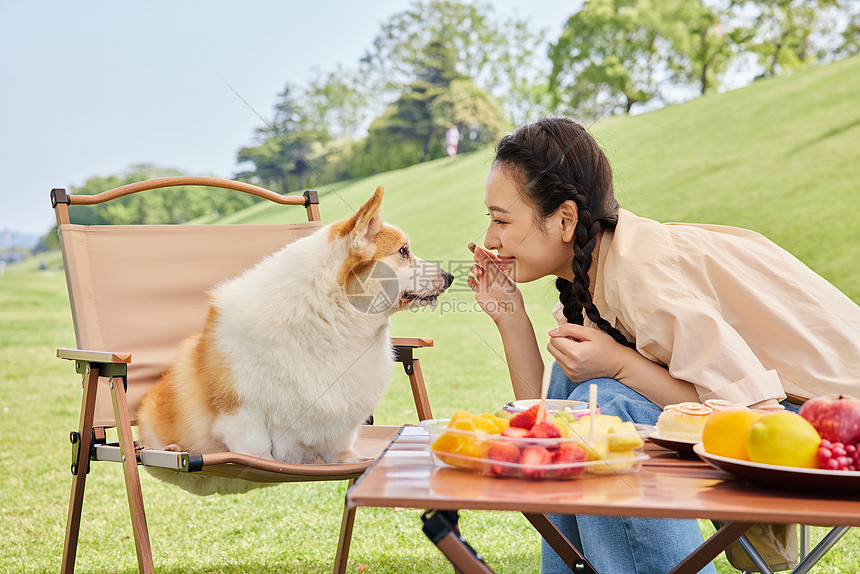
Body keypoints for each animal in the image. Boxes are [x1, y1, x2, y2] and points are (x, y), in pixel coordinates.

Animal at [138, 188, 454, 496]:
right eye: (403, 251)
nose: (450, 276)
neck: (329, 315)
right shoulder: (241, 412)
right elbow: (257, 450)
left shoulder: (343, 414)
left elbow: (341, 445)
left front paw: (351, 459)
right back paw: (170, 448)